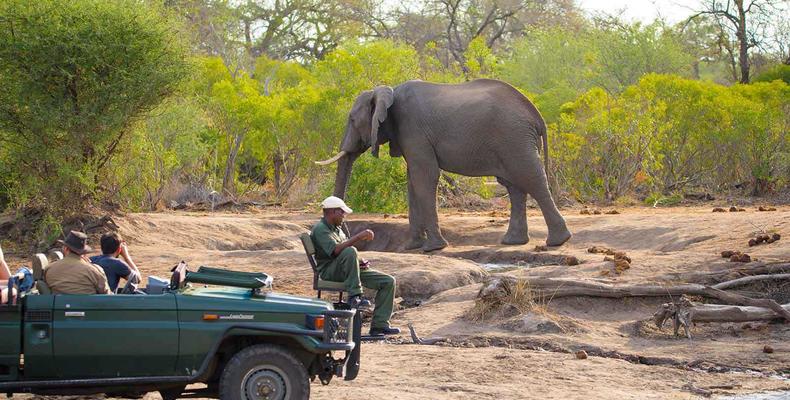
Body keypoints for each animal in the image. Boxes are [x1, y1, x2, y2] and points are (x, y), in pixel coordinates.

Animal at [318, 79, 576, 252]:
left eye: (352, 120)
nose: (347, 234)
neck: (386, 90)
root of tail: (536, 114)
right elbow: (413, 181)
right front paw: (412, 247)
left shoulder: (413, 129)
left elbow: (425, 177)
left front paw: (433, 248)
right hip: (512, 139)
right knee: (515, 186)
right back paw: (513, 242)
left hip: (514, 137)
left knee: (531, 178)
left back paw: (557, 241)